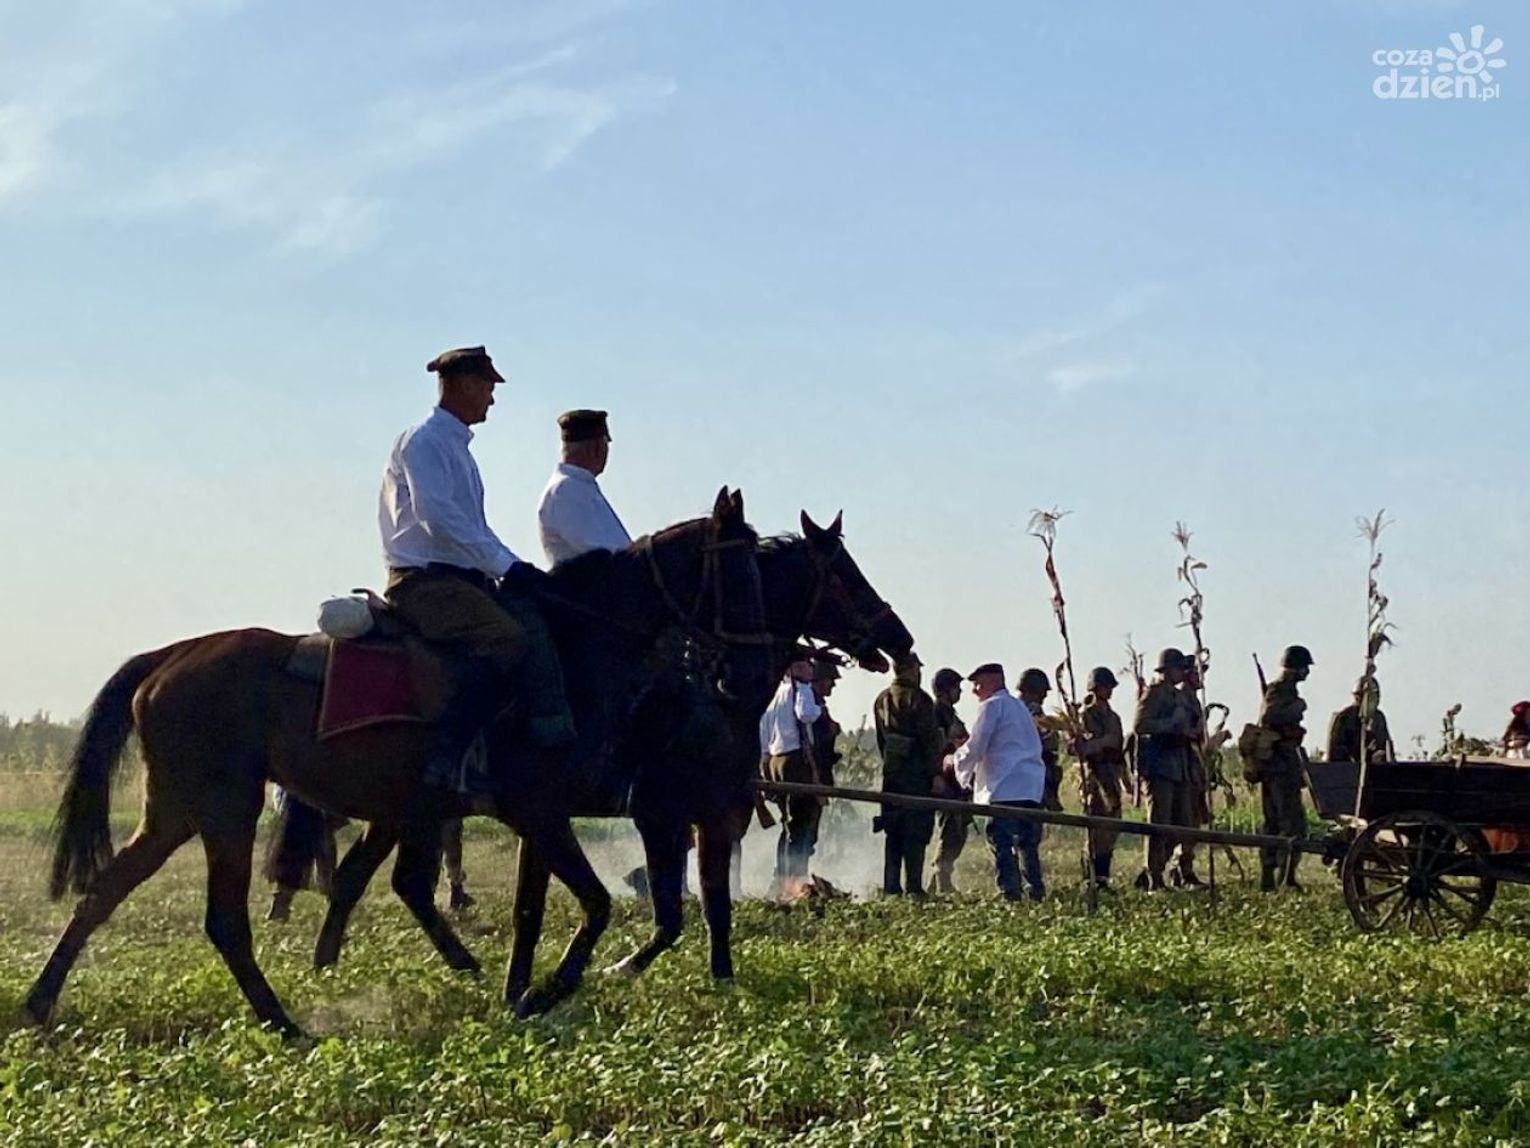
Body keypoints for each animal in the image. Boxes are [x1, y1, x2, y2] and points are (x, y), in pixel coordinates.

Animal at [24, 488, 770, 1037]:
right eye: (740, 570)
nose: (751, 670)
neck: (574, 646)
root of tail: (170, 657)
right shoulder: (541, 809)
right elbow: (592, 903)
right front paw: (544, 990)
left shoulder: (536, 814)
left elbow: (546, 905)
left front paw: (524, 989)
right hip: (226, 805)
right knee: (225, 918)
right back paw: (284, 1022)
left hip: (182, 809)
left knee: (108, 890)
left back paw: (41, 1003)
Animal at [278, 511, 913, 997]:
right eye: (844, 575)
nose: (900, 638)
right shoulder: (662, 814)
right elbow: (674, 912)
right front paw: (615, 968)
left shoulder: (704, 815)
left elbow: (709, 905)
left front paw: (719, 979)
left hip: (403, 811)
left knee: (373, 878)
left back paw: (340, 969)